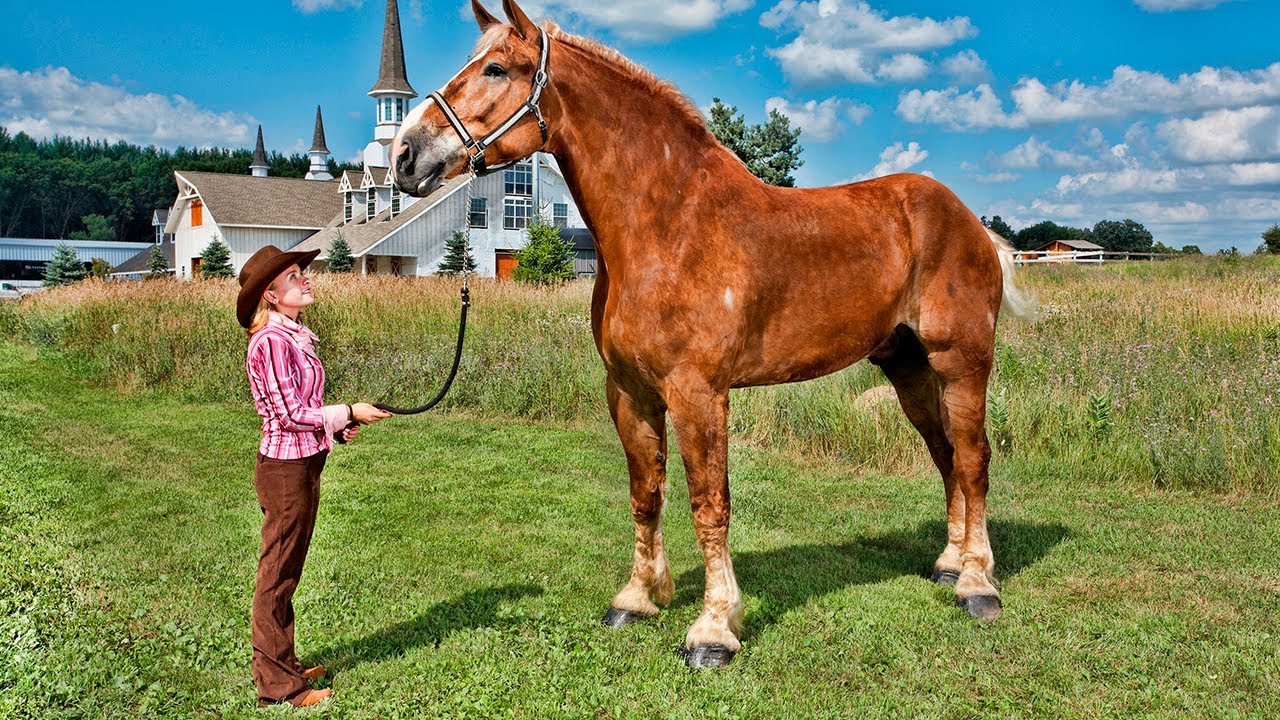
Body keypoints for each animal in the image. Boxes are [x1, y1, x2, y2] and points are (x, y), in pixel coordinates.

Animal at [391, 0, 1039, 666]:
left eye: (496, 68)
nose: (405, 156)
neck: (668, 227)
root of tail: (972, 225)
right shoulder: (630, 392)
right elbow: (646, 493)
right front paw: (637, 598)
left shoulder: (698, 392)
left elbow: (709, 502)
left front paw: (714, 627)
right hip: (909, 368)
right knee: (946, 457)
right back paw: (948, 564)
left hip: (962, 363)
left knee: (973, 459)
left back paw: (976, 584)